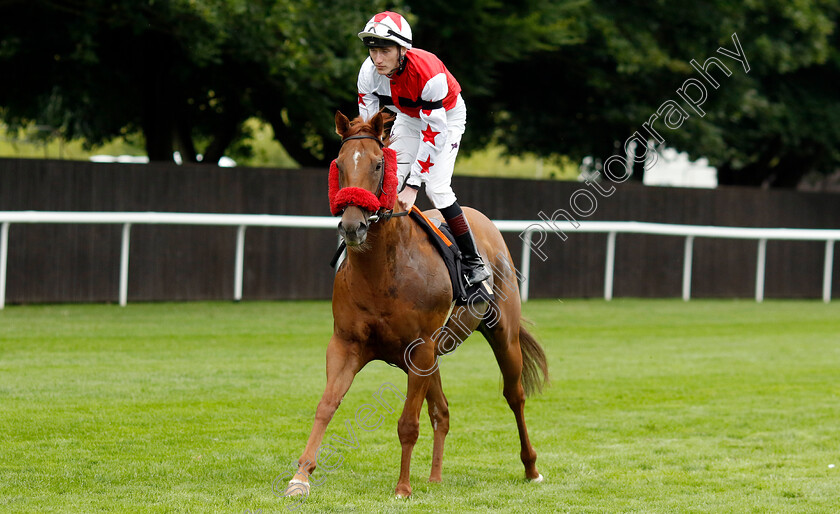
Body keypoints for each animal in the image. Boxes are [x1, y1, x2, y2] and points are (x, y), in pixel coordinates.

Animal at [288, 110, 552, 498]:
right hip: (432, 356)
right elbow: (326, 406)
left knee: (514, 395)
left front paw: (402, 487)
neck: (383, 271)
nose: (353, 226)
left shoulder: (420, 348)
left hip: (501, 334)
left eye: (378, 164)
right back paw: (435, 477)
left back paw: (531, 468)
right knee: (442, 411)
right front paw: (301, 476)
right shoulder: (346, 344)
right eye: (339, 163)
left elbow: (407, 423)